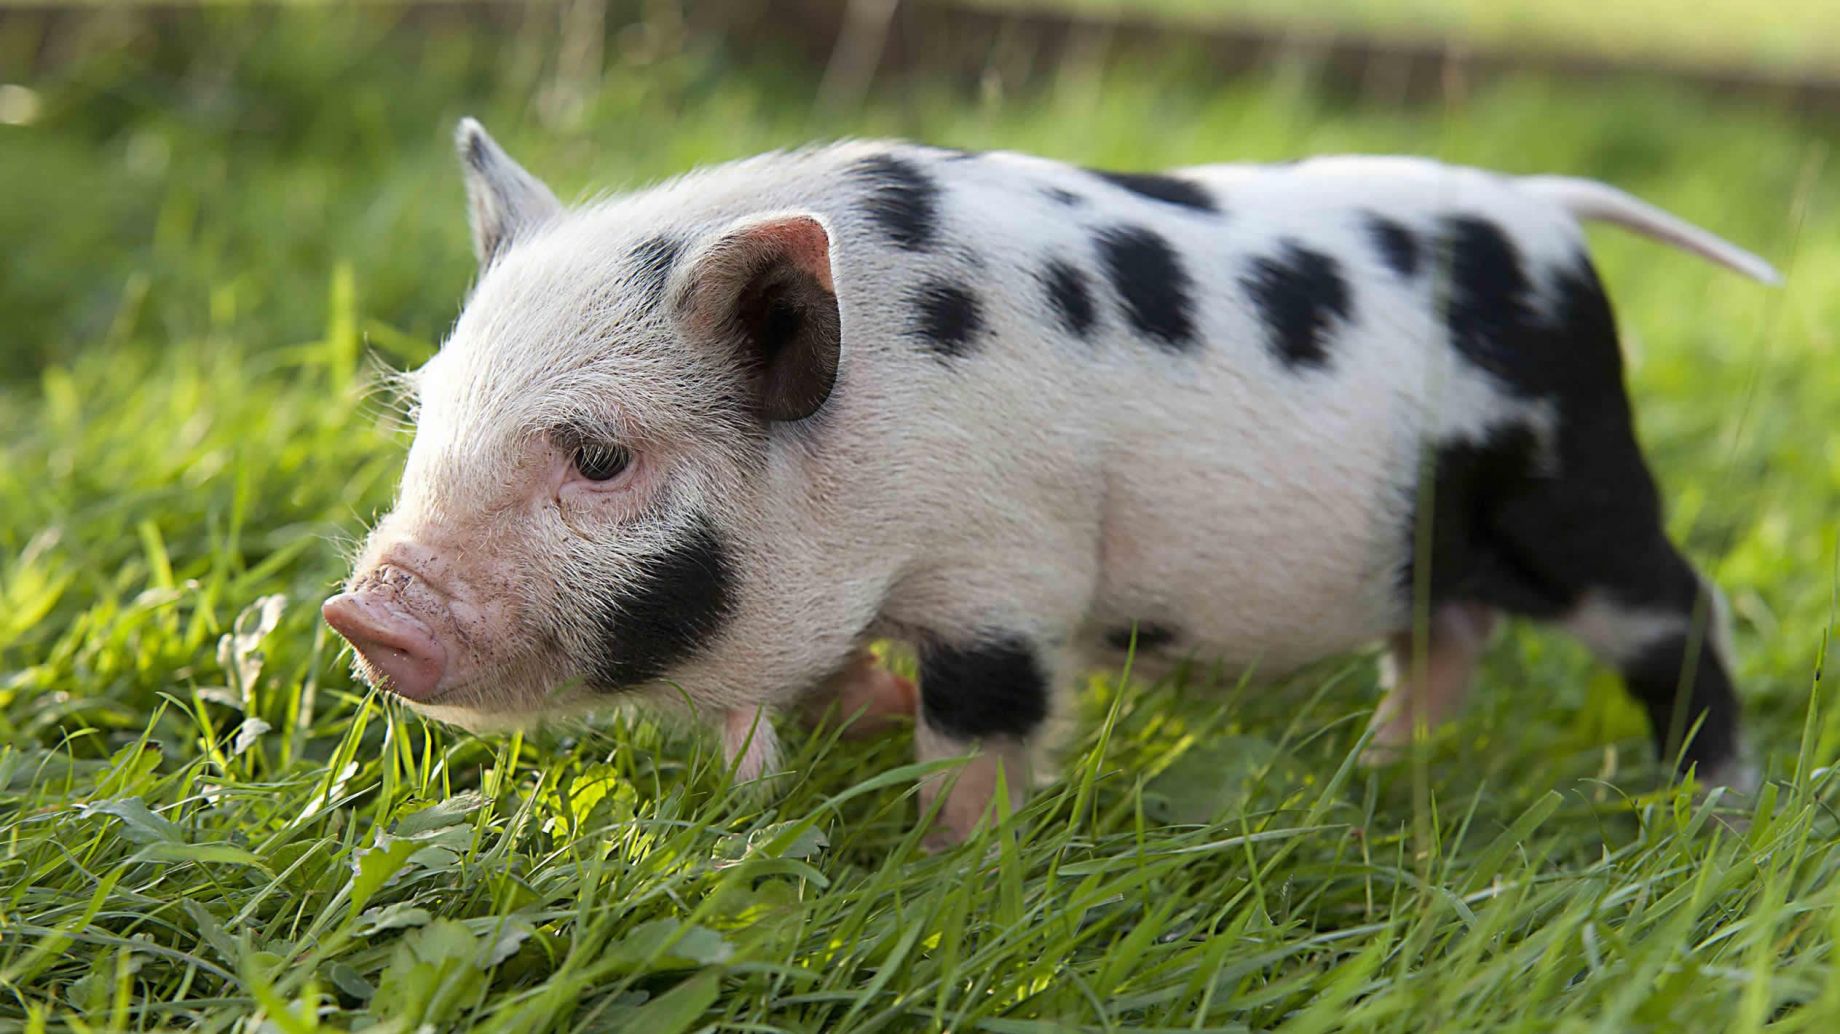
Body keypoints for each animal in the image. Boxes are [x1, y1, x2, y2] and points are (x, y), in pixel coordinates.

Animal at [323, 118, 1778, 845]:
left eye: (600, 454)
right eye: (428, 414)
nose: (361, 611)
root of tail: (1542, 212)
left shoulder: (1007, 569)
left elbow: (983, 725)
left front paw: (946, 868)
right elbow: (811, 690)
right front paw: (850, 734)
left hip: (1580, 488)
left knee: (1680, 609)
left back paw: (1714, 808)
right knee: (1444, 636)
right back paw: (1375, 775)